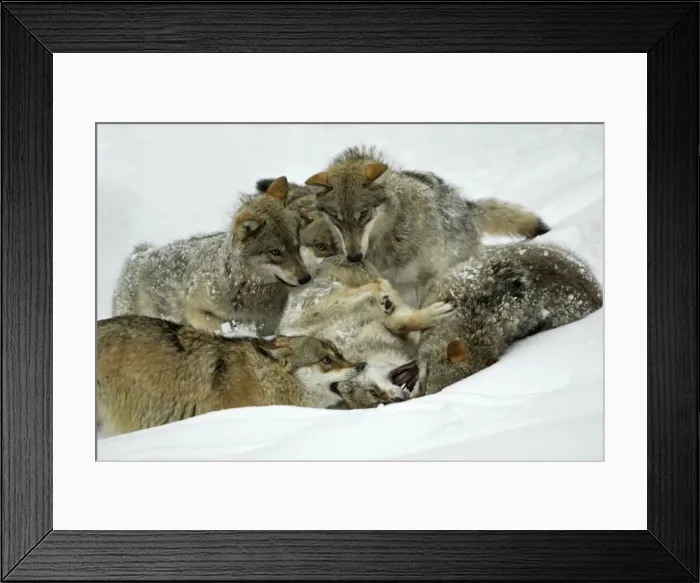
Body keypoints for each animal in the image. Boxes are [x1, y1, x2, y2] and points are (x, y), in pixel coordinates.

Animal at [112, 177, 311, 335]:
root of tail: (137, 255)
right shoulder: (195, 311)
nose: (306, 278)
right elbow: (223, 328)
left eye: (296, 246)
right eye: (275, 252)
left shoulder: (268, 328)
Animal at [278, 256, 454, 408]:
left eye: (372, 392)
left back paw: (385, 300)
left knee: (376, 284)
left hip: (332, 305)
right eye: (376, 399)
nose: (397, 400)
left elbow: (399, 323)